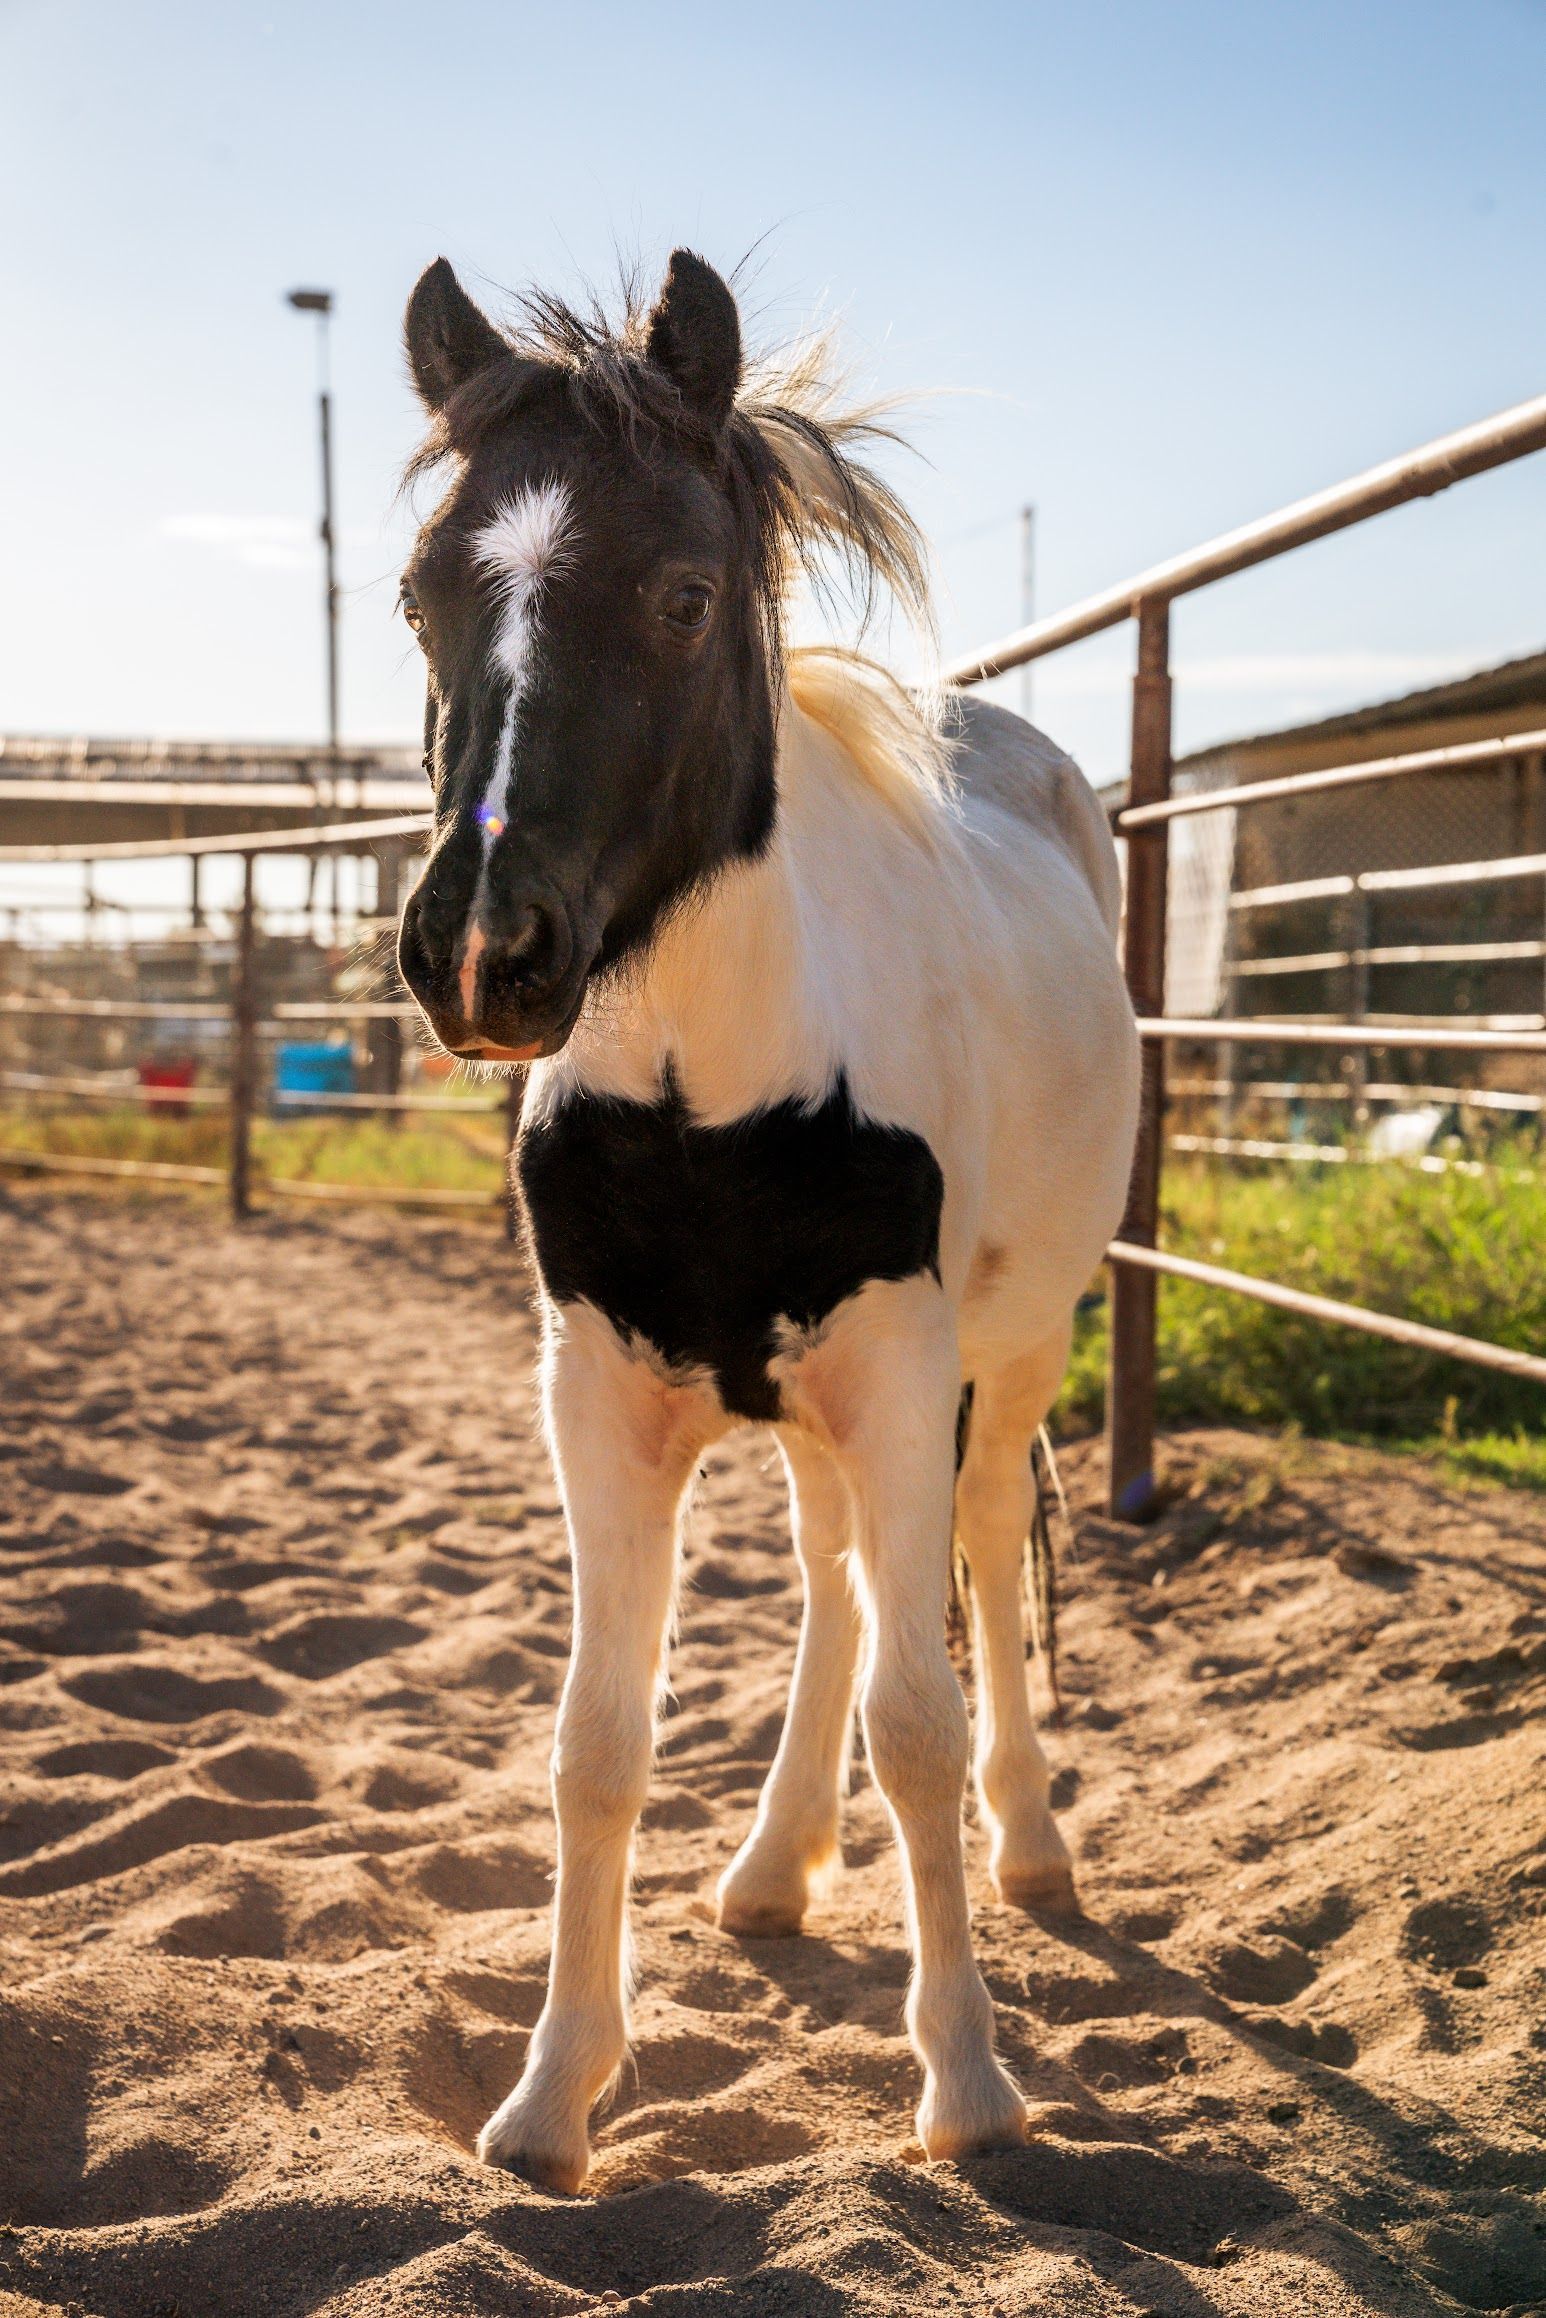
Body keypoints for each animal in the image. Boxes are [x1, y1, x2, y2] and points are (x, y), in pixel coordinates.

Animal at [393, 247, 1140, 2194]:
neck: (709, 1095)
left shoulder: (902, 1365)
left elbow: (920, 1715)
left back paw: (1034, 1847)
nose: (482, 951)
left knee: (970, 1564)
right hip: (809, 1405)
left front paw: (967, 2082)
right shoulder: (595, 1393)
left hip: (1010, 1352)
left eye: (681, 593)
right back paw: (770, 1868)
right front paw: (551, 2098)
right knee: (831, 1584)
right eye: (422, 593)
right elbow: (595, 1741)